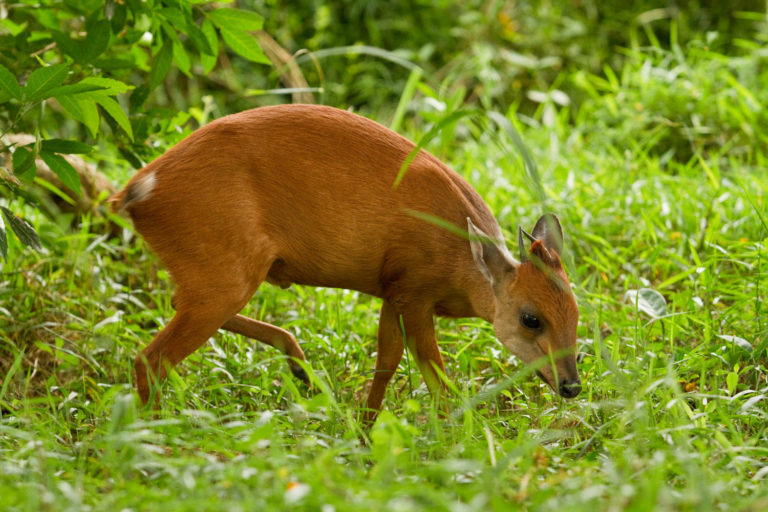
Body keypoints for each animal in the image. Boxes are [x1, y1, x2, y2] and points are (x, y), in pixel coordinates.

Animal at [112, 104, 584, 420]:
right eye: (530, 318)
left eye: (577, 313)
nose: (572, 385)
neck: (461, 265)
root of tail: (134, 192)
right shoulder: (414, 290)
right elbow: (434, 373)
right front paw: (456, 434)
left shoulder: (392, 290)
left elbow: (387, 360)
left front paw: (365, 425)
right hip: (224, 267)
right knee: (150, 358)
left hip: (217, 271)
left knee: (177, 312)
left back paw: (300, 367)